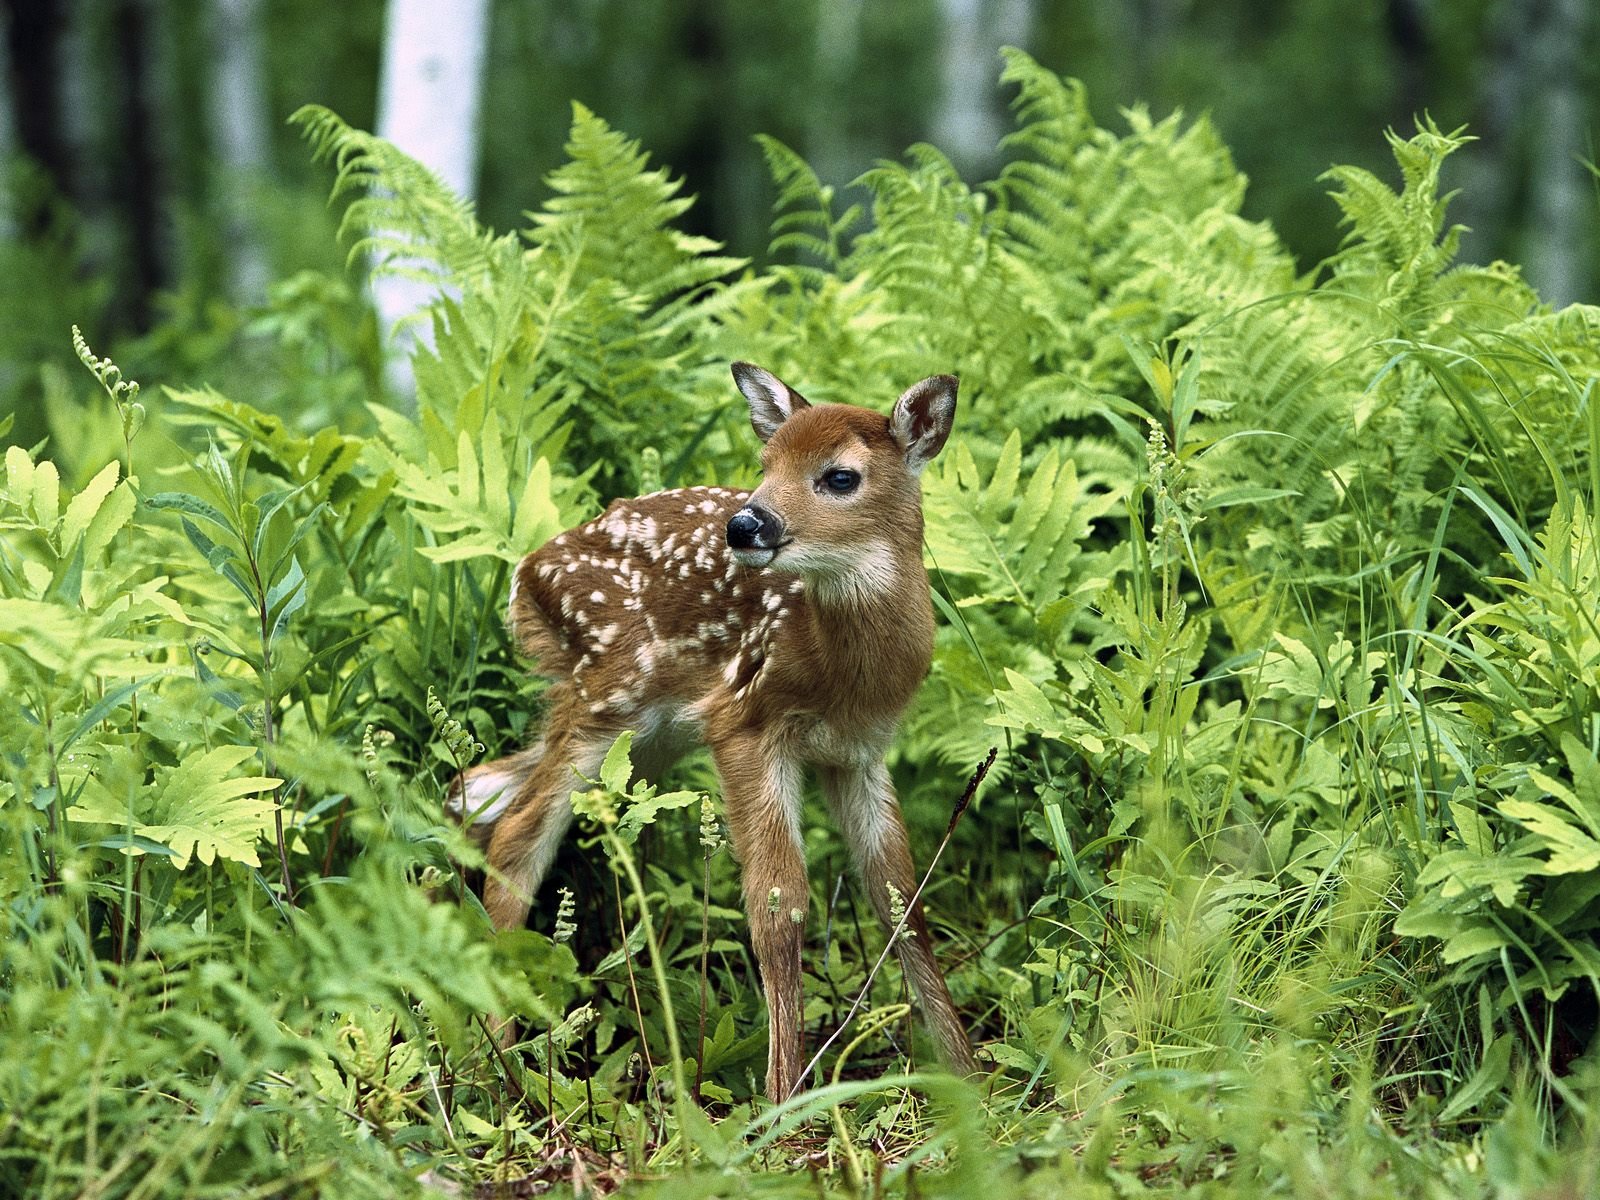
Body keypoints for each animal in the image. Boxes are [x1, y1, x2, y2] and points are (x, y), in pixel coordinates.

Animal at [451, 362, 978, 1101]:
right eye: (765, 463)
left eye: (840, 476)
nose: (747, 523)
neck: (840, 672)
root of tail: (524, 574)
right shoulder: (746, 724)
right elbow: (778, 906)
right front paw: (784, 1097)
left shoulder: (860, 753)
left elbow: (901, 898)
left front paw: (970, 1074)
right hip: (607, 693)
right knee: (518, 832)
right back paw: (500, 1059)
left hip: (646, 736)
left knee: (478, 789)